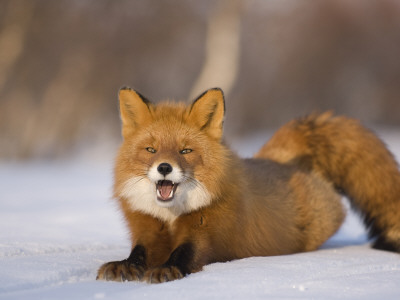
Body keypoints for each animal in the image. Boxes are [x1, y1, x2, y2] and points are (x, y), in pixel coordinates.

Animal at [97, 87, 400, 284]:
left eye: (185, 151)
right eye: (151, 149)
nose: (164, 167)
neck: (171, 216)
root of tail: (277, 159)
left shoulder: (206, 231)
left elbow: (184, 253)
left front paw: (167, 269)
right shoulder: (147, 228)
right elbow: (139, 252)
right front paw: (125, 266)